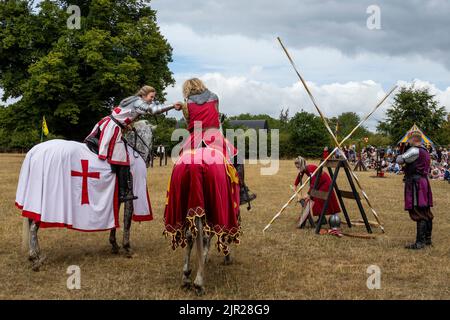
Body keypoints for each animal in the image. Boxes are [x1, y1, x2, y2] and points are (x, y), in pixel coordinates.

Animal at [16, 120, 154, 270]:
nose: (151, 158)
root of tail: (34, 152)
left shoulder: (115, 198)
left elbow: (115, 219)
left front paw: (114, 245)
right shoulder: (130, 197)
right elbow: (127, 221)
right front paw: (127, 247)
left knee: (31, 224)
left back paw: (36, 254)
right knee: (33, 228)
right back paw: (35, 258)